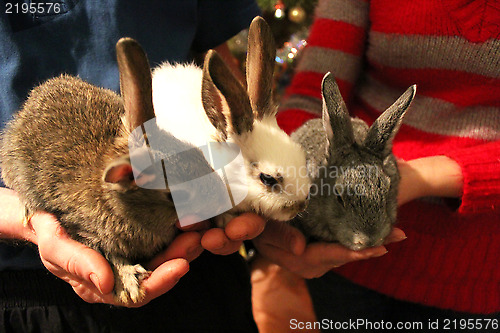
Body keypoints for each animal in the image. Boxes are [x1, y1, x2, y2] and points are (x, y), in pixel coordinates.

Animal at [0, 38, 223, 304]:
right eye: (174, 196)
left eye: (196, 153)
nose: (219, 201)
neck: (122, 206)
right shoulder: (84, 231)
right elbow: (110, 257)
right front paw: (129, 283)